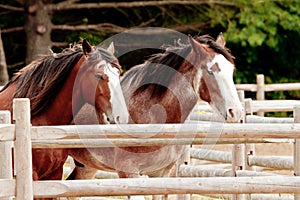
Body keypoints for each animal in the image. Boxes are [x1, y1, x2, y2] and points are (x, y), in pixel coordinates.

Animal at [67, 33, 244, 199]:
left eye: (231, 70)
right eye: (210, 71)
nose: (235, 112)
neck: (151, 115)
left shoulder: (163, 174)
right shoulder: (128, 173)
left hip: (87, 166)